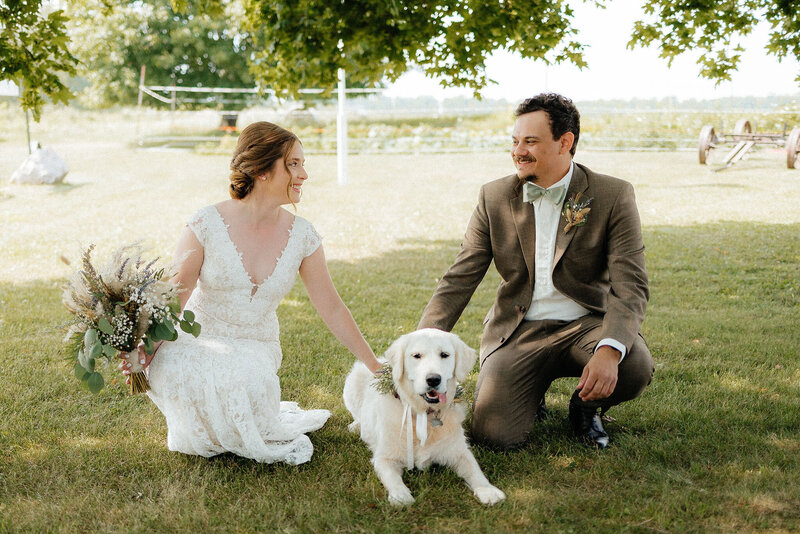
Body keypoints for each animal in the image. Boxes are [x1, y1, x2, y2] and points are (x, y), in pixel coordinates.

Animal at [340, 328, 504, 508]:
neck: (423, 414)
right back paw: (356, 426)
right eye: (417, 355)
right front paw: (401, 496)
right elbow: (392, 478)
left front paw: (488, 490)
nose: (433, 379)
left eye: (444, 355)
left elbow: (474, 468)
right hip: (353, 381)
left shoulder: (459, 451)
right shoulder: (385, 457)